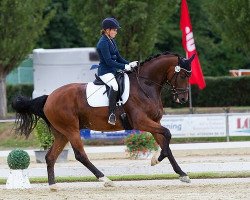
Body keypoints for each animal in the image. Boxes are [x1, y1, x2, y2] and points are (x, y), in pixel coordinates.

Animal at [12, 50, 195, 190]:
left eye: (189, 75)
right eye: (183, 75)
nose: (183, 98)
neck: (145, 86)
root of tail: (49, 97)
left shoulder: (154, 122)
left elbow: (167, 145)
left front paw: (182, 174)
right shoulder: (142, 122)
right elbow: (168, 135)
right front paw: (155, 160)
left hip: (61, 133)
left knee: (50, 157)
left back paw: (53, 186)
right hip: (71, 129)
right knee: (80, 155)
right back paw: (105, 180)